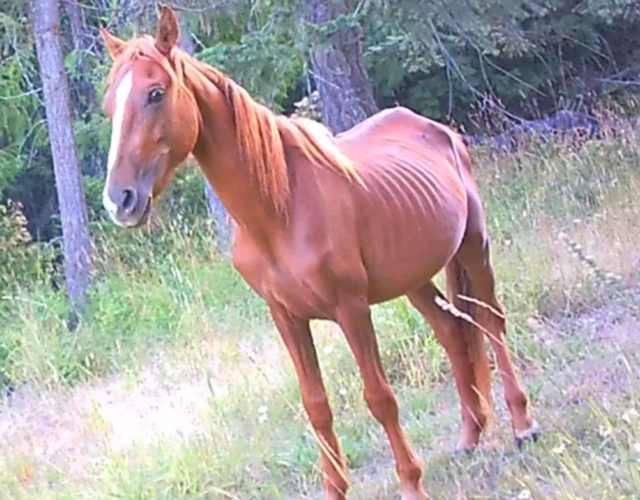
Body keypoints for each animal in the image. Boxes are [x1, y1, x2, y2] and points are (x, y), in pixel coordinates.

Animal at [99, 7, 539, 499]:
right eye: (110, 105)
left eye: (155, 93)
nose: (119, 200)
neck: (278, 211)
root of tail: (439, 130)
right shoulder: (287, 317)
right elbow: (316, 406)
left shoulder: (351, 309)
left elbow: (380, 398)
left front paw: (411, 483)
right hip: (414, 277)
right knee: (451, 332)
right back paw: (469, 435)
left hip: (473, 246)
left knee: (490, 320)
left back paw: (523, 424)